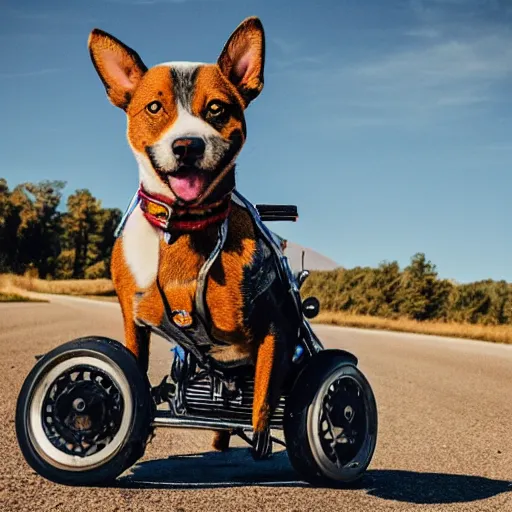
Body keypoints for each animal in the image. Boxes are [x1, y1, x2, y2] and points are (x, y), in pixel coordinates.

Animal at [89, 16, 296, 450]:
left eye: (217, 109)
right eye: (154, 107)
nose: (187, 145)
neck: (183, 229)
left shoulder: (278, 326)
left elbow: (267, 389)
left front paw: (262, 435)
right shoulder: (133, 318)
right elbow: (132, 368)